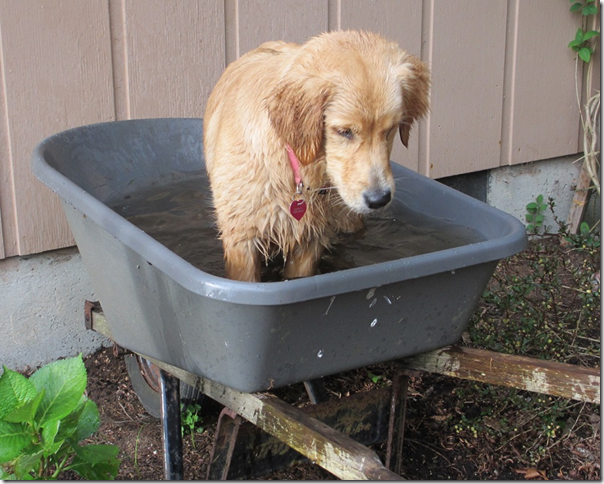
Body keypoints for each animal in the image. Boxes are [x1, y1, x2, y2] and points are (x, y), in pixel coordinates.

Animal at [204, 30, 430, 282]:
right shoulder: (241, 240)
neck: (296, 165)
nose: (379, 199)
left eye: (390, 129)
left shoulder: (310, 240)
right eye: (344, 131)